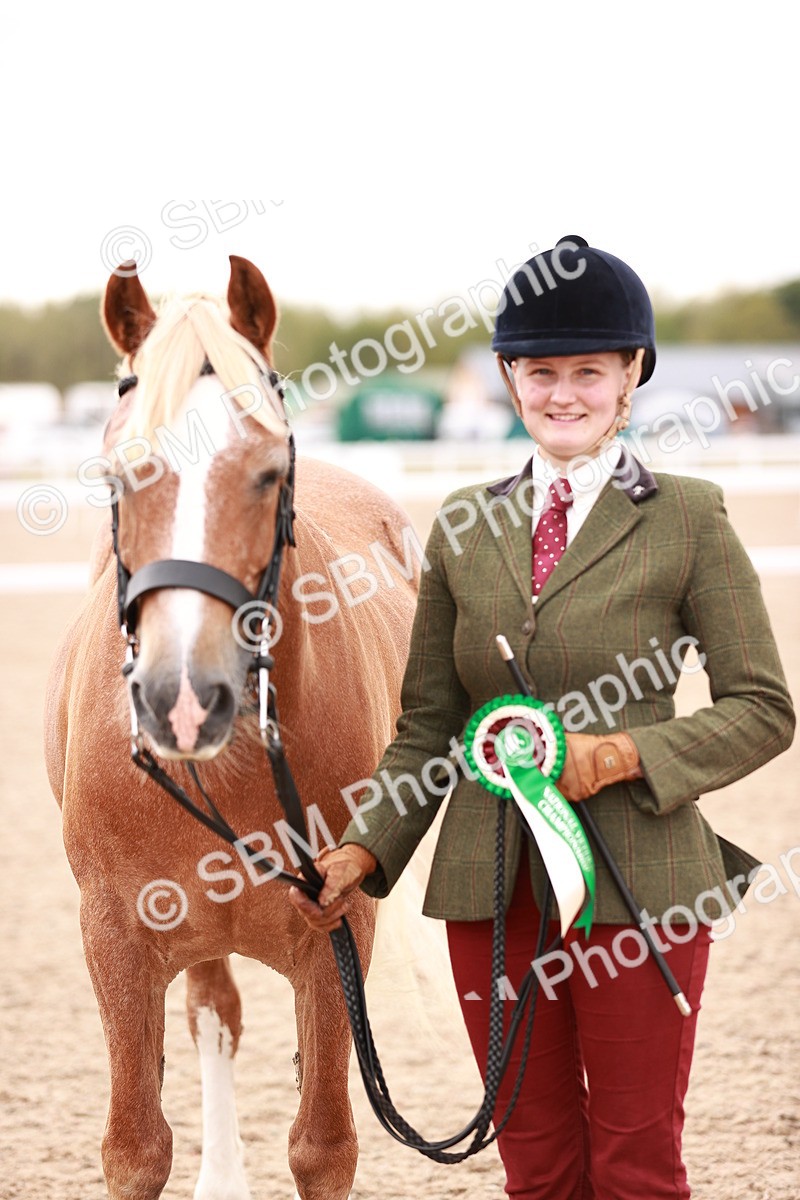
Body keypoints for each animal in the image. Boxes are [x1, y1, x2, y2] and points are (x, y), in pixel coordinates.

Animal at [44, 256, 419, 1200]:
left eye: (269, 470)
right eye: (118, 474)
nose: (183, 696)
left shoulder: (337, 930)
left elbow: (324, 1145)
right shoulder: (114, 936)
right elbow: (135, 1148)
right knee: (216, 1012)